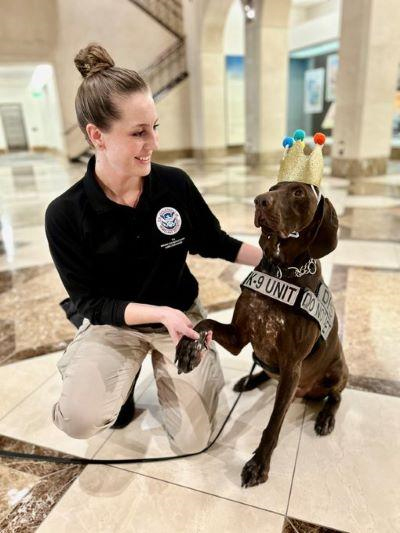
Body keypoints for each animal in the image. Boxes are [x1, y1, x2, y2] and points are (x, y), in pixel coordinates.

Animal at [174, 182, 346, 486]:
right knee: (265, 370)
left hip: (337, 369)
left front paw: (258, 464)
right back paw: (249, 380)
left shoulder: (292, 366)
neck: (281, 272)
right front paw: (189, 348)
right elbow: (204, 322)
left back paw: (325, 418)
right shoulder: (238, 337)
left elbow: (273, 424)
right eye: (273, 188)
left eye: (298, 192)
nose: (259, 201)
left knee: (335, 396)